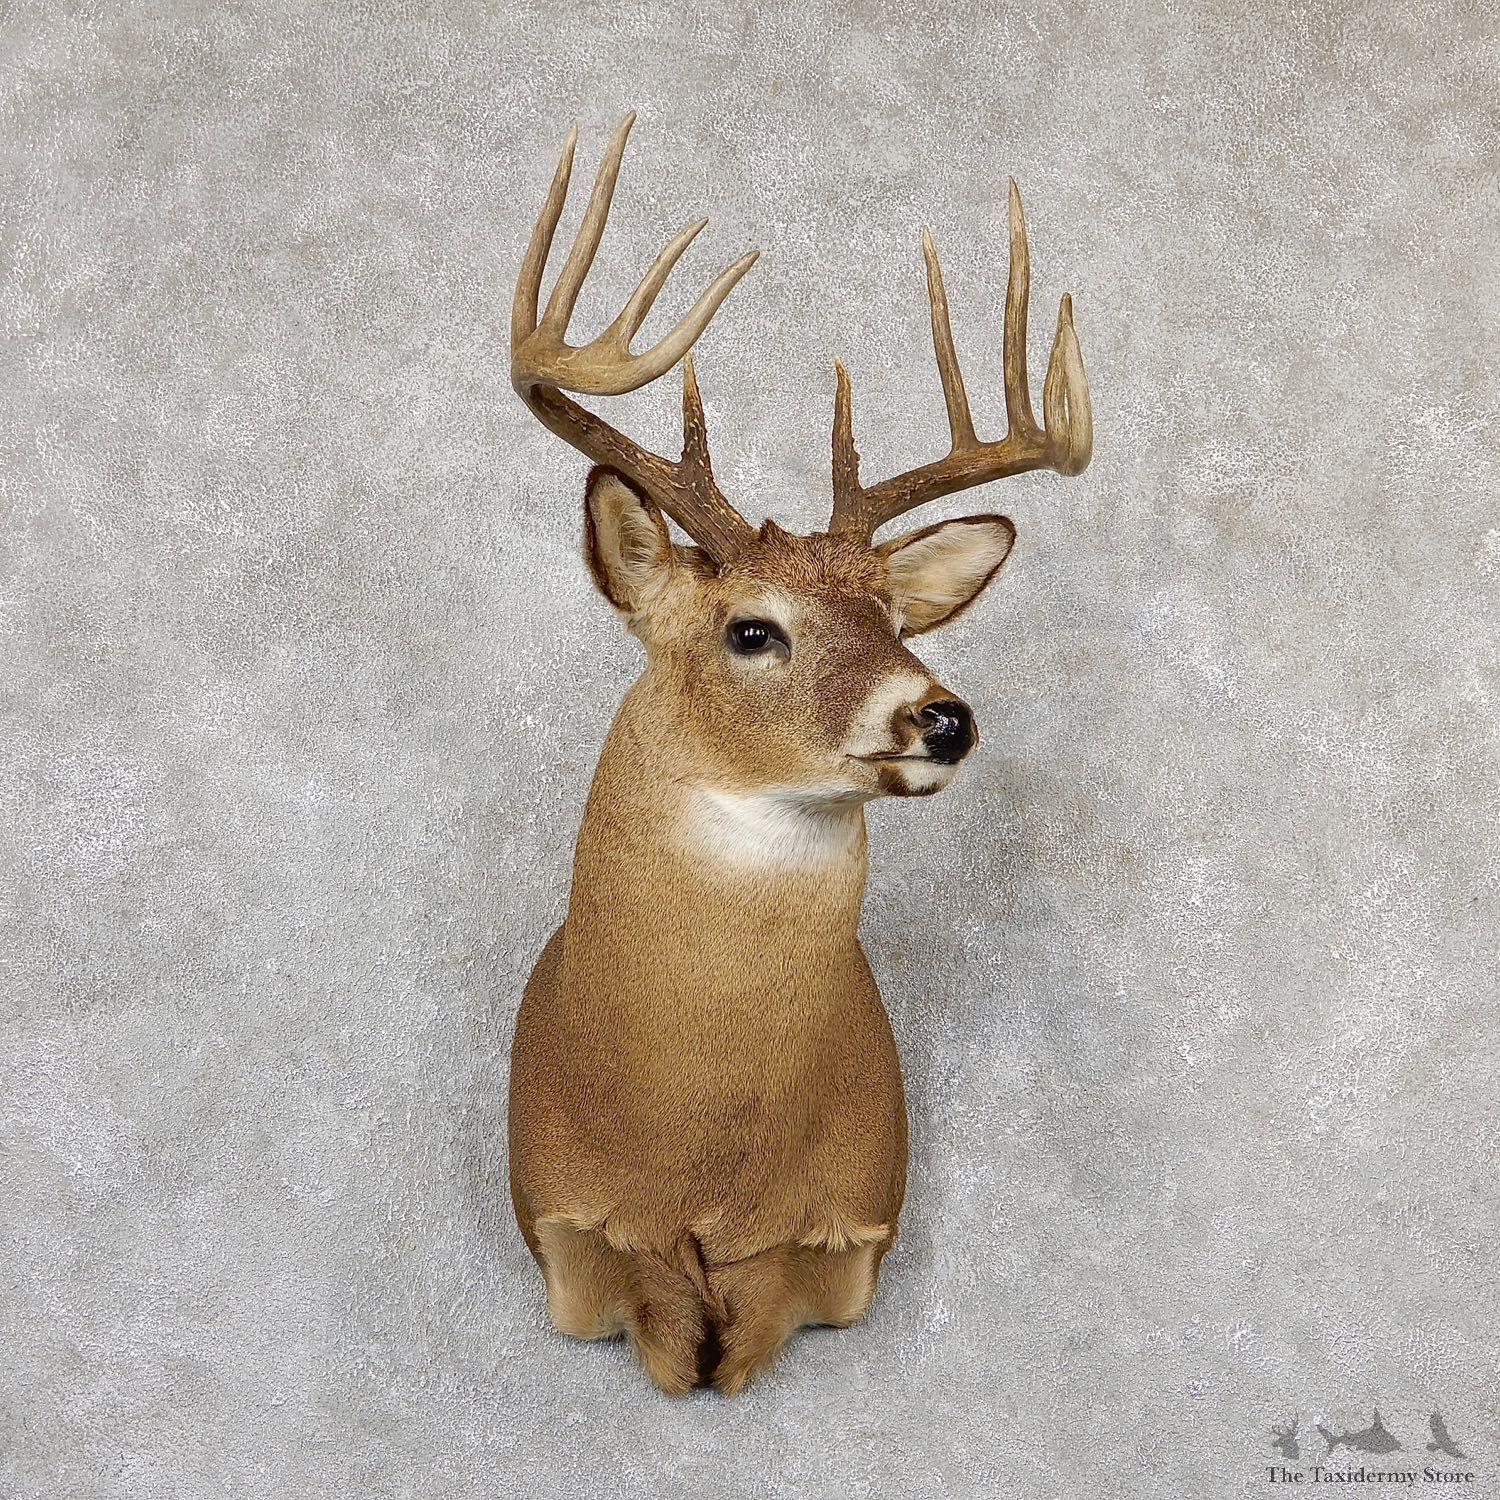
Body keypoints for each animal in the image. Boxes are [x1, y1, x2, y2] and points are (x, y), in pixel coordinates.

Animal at [505, 112, 1092, 1395]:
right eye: (752, 629)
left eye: (893, 616)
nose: (943, 717)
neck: (701, 1153)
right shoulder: (561, 1224)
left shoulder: (856, 1230)